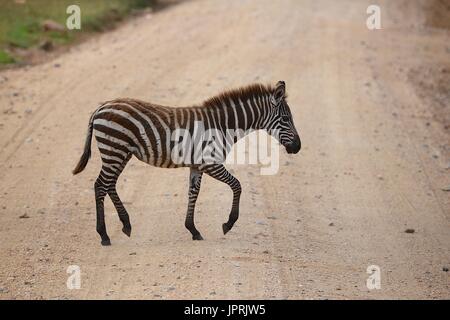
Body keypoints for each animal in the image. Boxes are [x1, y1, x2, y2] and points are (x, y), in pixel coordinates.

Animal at [72, 80, 300, 245]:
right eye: (286, 119)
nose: (298, 147)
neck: (222, 126)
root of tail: (101, 107)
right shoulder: (210, 163)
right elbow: (237, 185)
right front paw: (228, 223)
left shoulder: (197, 166)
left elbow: (193, 194)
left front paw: (193, 229)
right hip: (114, 150)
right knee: (100, 185)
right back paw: (104, 235)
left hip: (121, 153)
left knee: (109, 184)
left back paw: (126, 225)